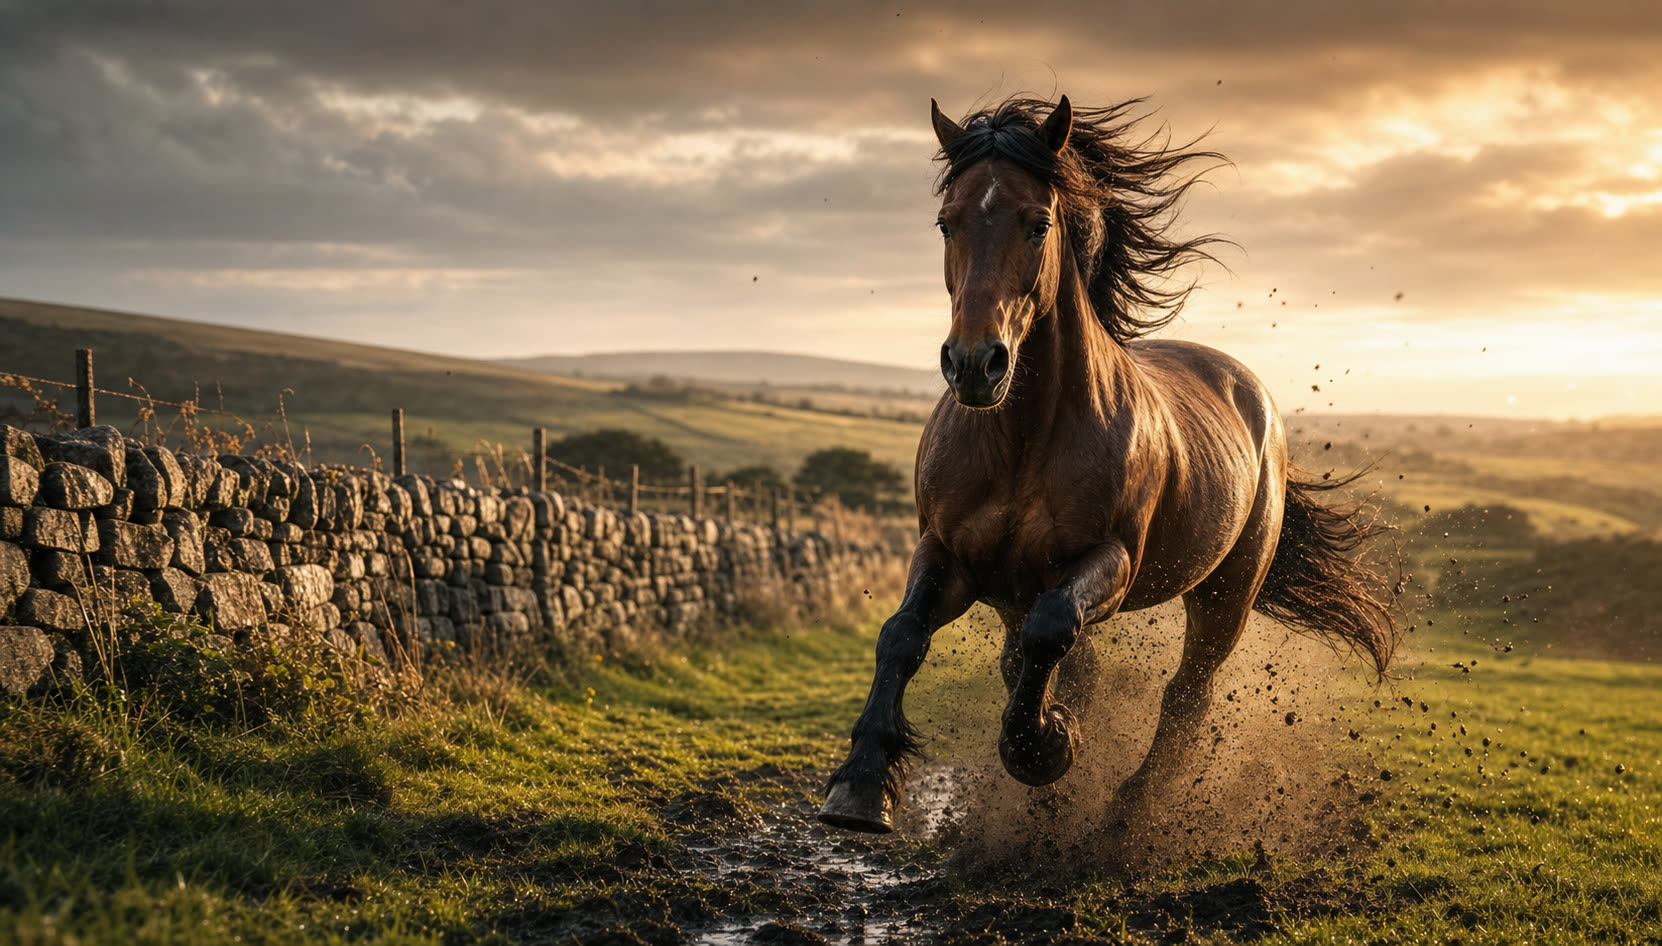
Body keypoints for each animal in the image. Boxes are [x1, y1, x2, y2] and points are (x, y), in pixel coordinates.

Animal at [819, 94, 1396, 834]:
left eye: (1037, 223)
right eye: (947, 222)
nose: (975, 364)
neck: (1024, 439)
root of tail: (1254, 398)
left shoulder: (1110, 562)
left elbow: (1052, 633)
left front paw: (1046, 747)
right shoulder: (950, 553)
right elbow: (902, 636)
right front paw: (860, 787)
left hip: (1224, 596)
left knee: (1185, 694)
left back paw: (1129, 810)